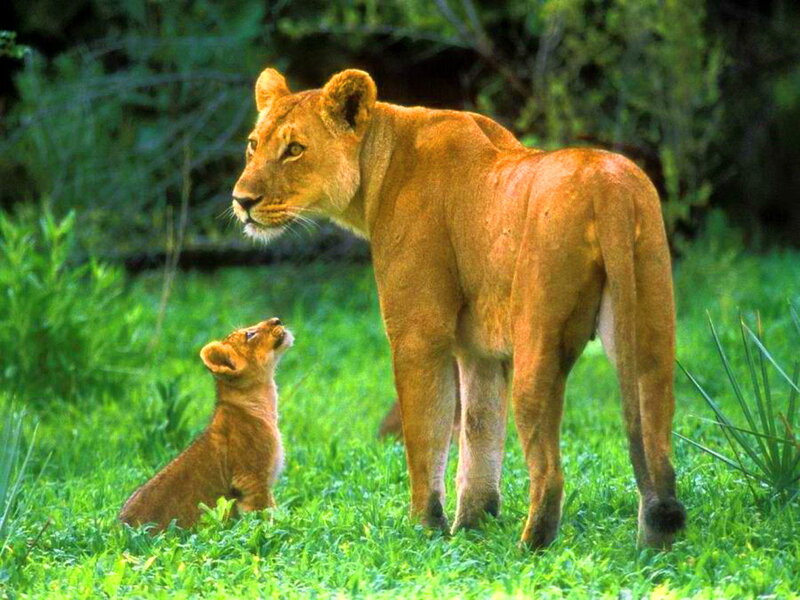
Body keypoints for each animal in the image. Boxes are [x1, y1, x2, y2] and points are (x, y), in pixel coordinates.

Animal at [119, 318, 292, 532]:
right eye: (250, 334)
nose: (277, 319)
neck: (262, 400)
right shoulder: (250, 479)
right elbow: (263, 517)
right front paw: (276, 533)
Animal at [231, 68, 686, 548]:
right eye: (253, 145)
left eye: (295, 149)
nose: (241, 201)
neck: (379, 165)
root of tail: (610, 186)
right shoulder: (479, 350)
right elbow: (479, 434)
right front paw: (472, 528)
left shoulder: (419, 334)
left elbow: (425, 435)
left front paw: (424, 528)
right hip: (650, 328)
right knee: (656, 443)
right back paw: (654, 544)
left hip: (538, 342)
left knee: (550, 472)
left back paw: (529, 549)